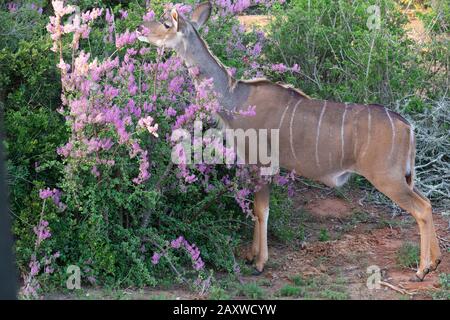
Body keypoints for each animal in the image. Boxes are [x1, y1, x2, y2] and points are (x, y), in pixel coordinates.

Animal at [139, 1, 442, 280]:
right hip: (403, 178)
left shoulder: (263, 164)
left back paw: (421, 270)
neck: (235, 97)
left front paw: (260, 263)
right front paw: (251, 255)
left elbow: (261, 210)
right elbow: (255, 209)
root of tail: (407, 126)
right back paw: (436, 262)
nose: (141, 29)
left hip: (387, 178)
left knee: (421, 208)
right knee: (428, 202)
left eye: (167, 23)